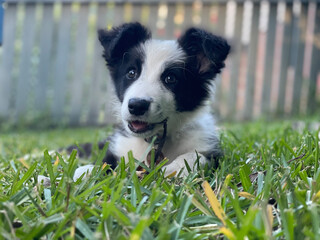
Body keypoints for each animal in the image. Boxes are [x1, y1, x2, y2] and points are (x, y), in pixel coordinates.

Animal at [72, 22, 229, 181]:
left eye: (170, 78)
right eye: (131, 73)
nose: (136, 106)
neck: (154, 140)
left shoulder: (211, 150)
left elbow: (197, 156)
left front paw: (175, 168)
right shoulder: (120, 147)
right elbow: (106, 161)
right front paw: (88, 171)